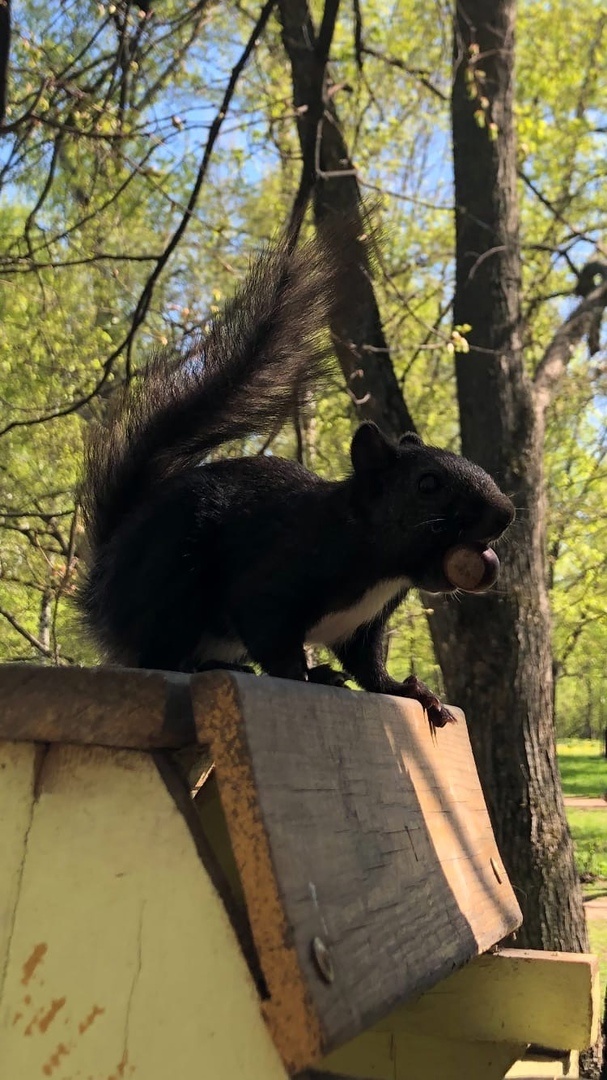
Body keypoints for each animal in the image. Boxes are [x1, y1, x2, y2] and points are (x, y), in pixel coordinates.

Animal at [77, 224, 511, 730]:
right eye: (427, 484)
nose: (504, 514)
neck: (378, 561)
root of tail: (102, 584)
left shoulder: (365, 625)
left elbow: (368, 666)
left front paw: (410, 690)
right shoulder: (278, 578)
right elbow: (272, 636)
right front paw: (305, 677)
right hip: (170, 585)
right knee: (161, 654)